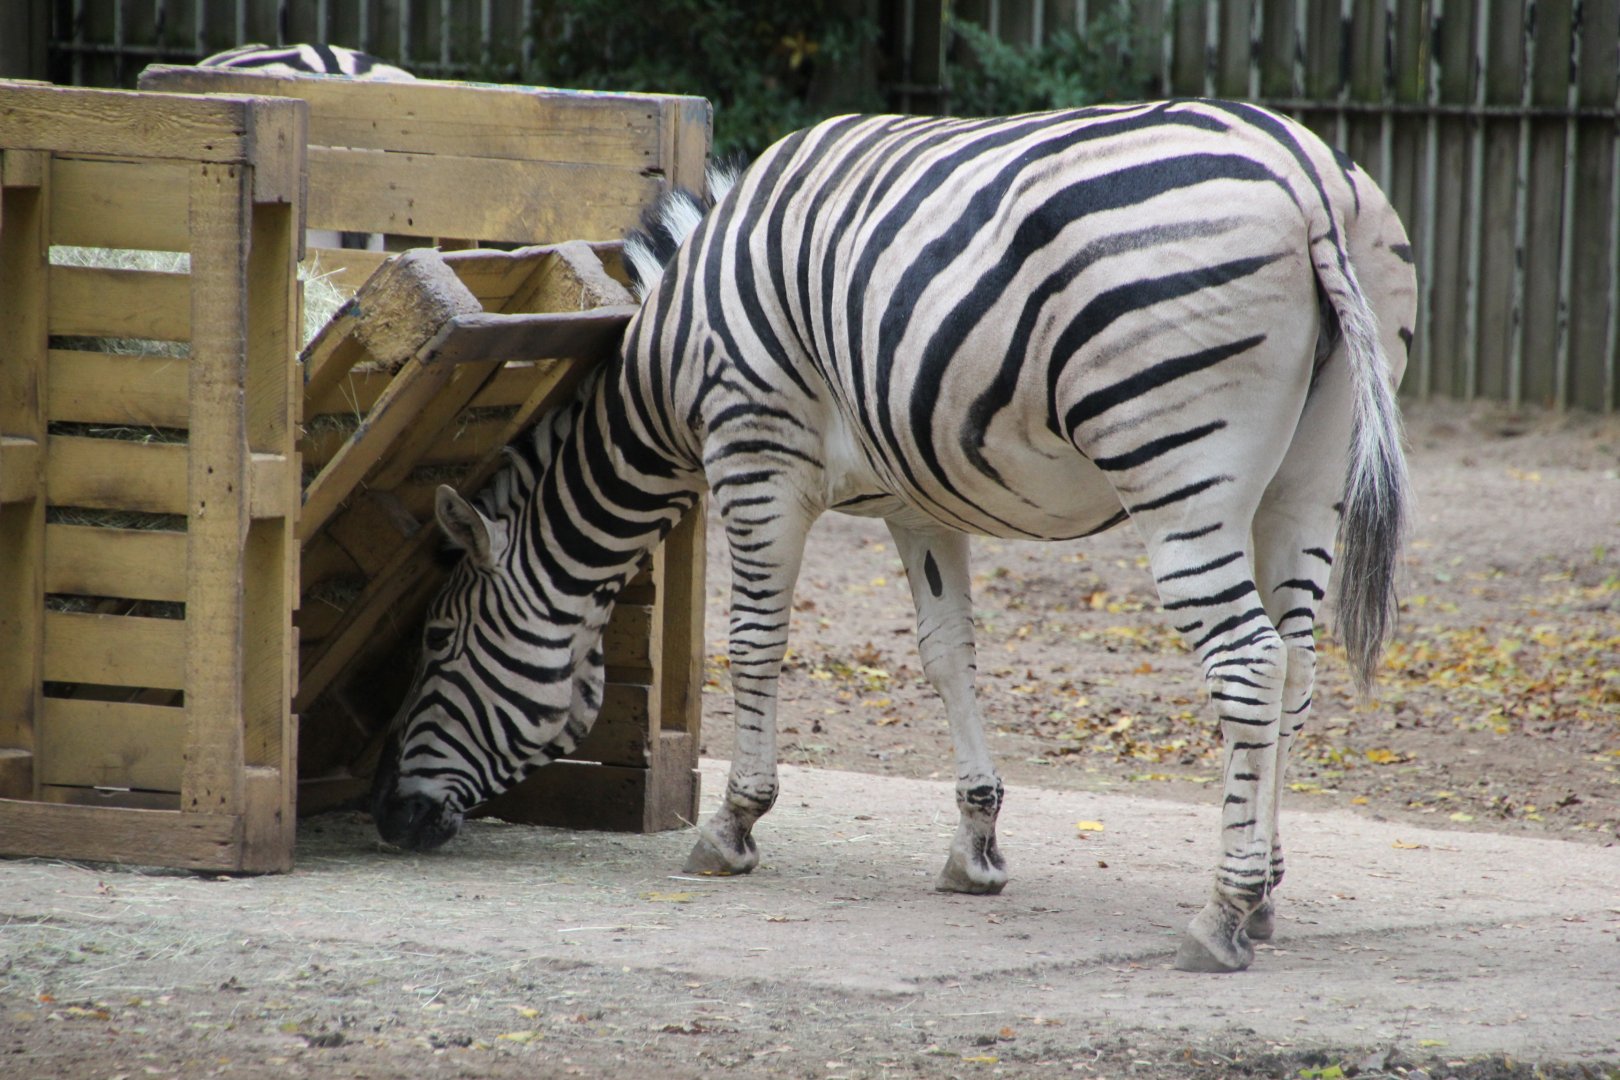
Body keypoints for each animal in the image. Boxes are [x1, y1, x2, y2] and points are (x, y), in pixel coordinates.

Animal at [371, 100, 1416, 974]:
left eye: (436, 637)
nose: (389, 818)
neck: (671, 360)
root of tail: (1306, 178)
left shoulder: (755, 453)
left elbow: (754, 642)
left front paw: (732, 828)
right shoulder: (922, 500)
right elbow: (947, 652)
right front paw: (976, 846)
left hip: (1176, 466)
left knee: (1248, 662)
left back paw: (1222, 914)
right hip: (1306, 481)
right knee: (1296, 666)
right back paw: (1266, 894)